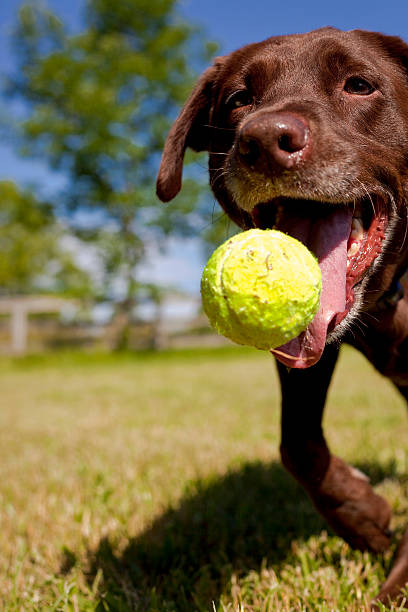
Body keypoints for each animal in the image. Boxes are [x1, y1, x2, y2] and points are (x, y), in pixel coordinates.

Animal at [155, 27, 408, 608]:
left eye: (359, 84)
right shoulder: (307, 351)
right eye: (238, 100)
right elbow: (297, 444)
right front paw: (363, 516)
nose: (265, 140)